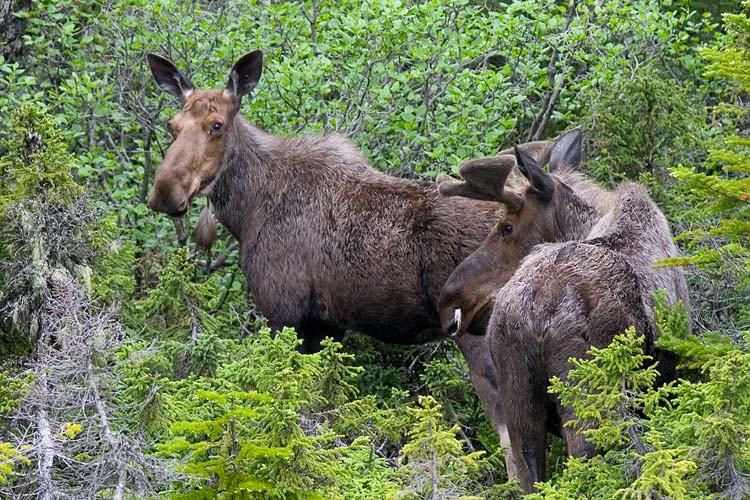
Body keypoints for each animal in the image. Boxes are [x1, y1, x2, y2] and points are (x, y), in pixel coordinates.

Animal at [144, 49, 575, 480]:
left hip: (478, 333)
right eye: (172, 125)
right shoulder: (324, 324)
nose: (165, 191)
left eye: (216, 125)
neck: (248, 209)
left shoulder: (283, 312)